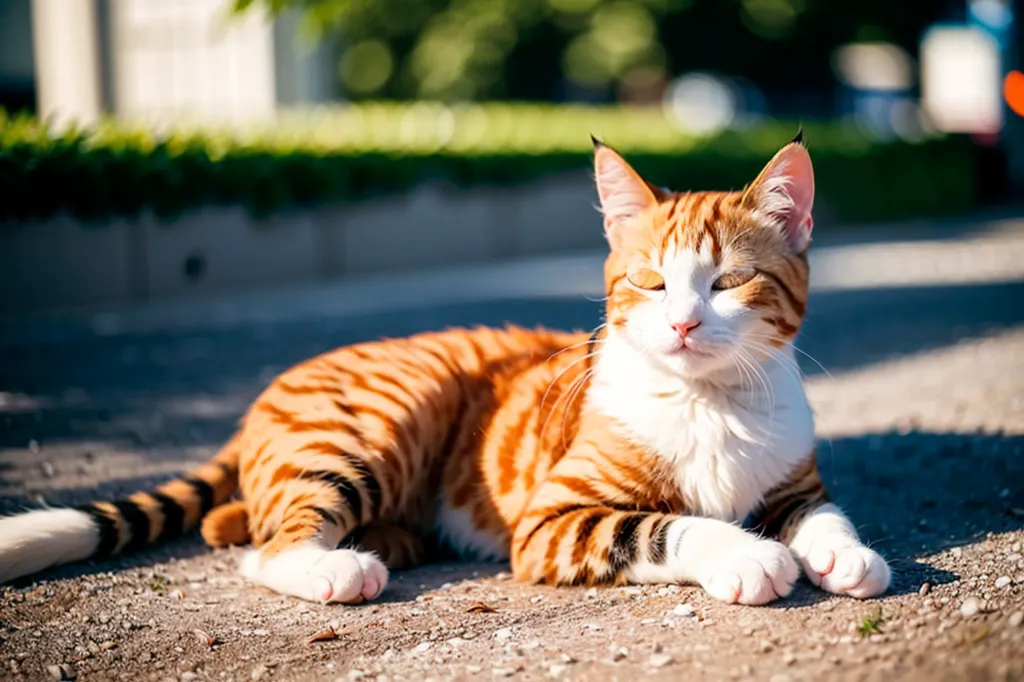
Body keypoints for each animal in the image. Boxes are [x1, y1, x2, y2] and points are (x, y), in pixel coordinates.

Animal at [0, 133, 888, 602]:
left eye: (730, 281)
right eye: (648, 281)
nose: (681, 322)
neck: (710, 404)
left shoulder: (796, 481)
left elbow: (820, 512)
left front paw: (844, 553)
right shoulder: (553, 522)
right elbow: (664, 525)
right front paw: (747, 554)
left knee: (240, 525)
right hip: (378, 426)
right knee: (264, 545)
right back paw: (339, 566)